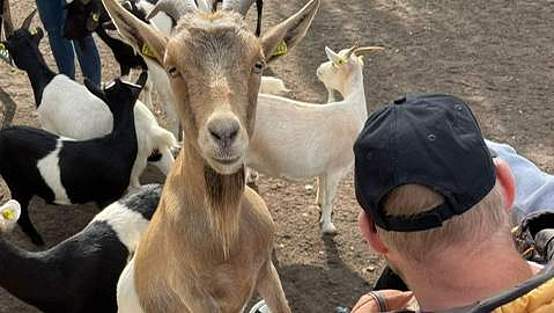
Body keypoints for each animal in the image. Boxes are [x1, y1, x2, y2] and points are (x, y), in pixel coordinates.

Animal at [1, 8, 176, 186]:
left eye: (11, 47)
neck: (45, 80)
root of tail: (151, 131)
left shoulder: (48, 126)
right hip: (161, 155)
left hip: (133, 167)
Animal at [101, 0, 322, 312]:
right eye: (172, 67)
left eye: (258, 63)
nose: (225, 133)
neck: (225, 238)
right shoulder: (196, 297)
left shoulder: (266, 269)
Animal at [248, 44, 382, 234]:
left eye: (333, 64)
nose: (319, 69)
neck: (352, 110)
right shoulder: (335, 169)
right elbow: (331, 197)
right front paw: (328, 227)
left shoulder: (326, 169)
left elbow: (324, 193)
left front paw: (322, 209)